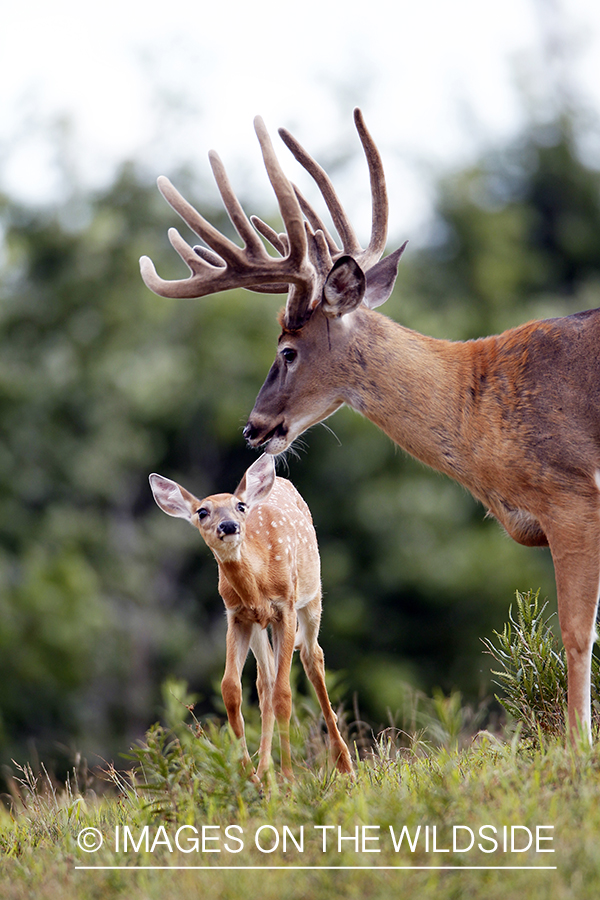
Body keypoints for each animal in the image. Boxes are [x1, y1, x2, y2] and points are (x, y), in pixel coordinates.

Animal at [140, 109, 600, 745]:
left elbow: (577, 634)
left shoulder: (570, 493)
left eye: (287, 350)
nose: (254, 429)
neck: (482, 403)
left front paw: (578, 749)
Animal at [149, 454, 353, 782]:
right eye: (203, 511)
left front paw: (288, 778)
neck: (259, 583)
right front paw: (249, 774)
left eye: (240, 506)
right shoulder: (236, 616)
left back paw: (343, 763)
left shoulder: (285, 607)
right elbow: (231, 689)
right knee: (264, 680)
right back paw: (264, 770)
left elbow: (284, 695)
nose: (229, 525)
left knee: (312, 657)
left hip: (311, 598)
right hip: (260, 626)